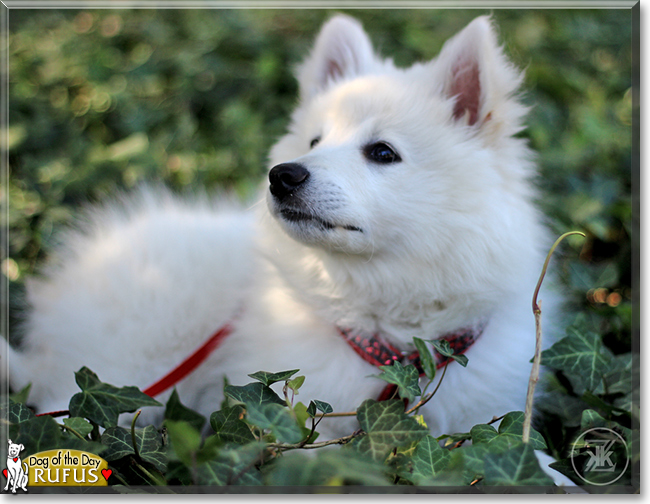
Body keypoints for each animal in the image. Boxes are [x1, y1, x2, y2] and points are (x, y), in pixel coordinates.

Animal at [8, 14, 556, 444]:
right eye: (315, 141)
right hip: (132, 376)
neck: (396, 345)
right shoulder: (304, 424)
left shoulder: (485, 414)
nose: (283, 175)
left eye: (383, 152)